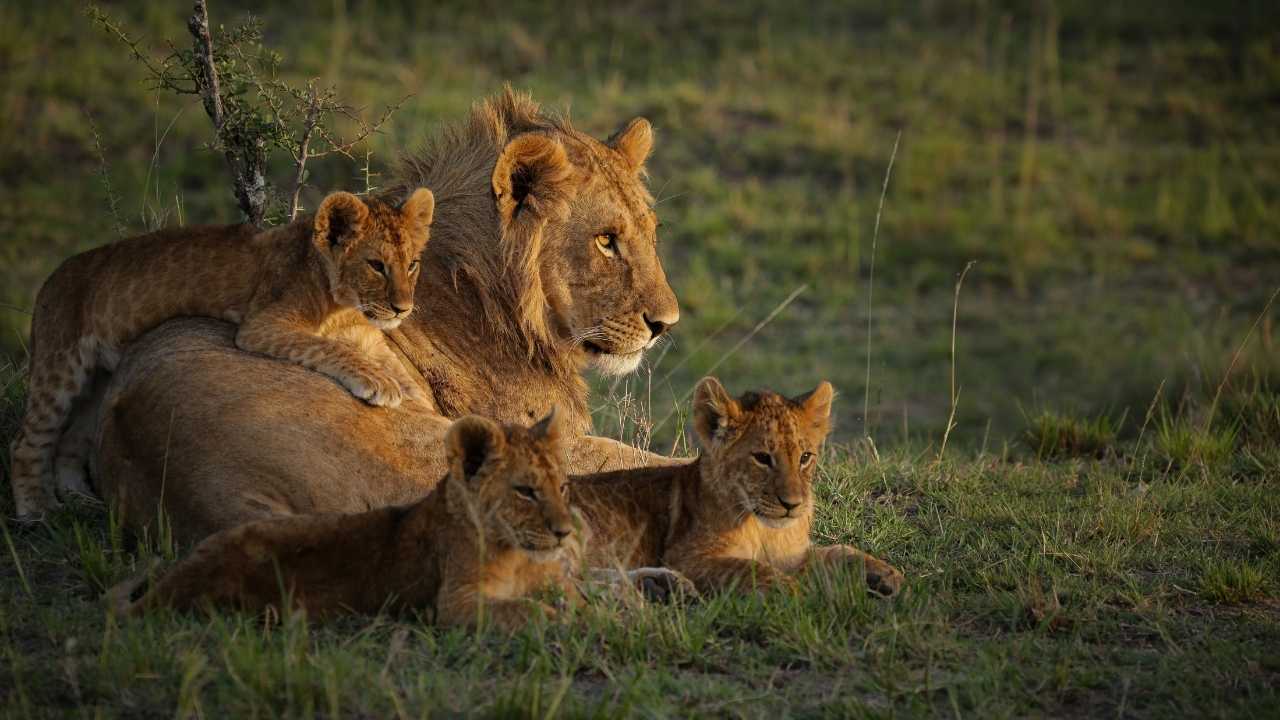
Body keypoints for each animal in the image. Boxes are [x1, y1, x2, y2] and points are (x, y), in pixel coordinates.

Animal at [9, 189, 435, 519]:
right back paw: (37, 510)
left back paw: (82, 501)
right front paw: (379, 384)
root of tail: (53, 276)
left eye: (412, 264)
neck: (343, 304)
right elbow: (327, 347)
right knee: (27, 442)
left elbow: (397, 368)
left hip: (97, 383)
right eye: (376, 265)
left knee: (69, 444)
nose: (403, 309)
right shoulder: (262, 326)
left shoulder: (367, 336)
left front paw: (418, 400)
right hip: (60, 367)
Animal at [108, 411, 582, 630]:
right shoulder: (454, 605)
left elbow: (574, 599)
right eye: (525, 491)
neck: (518, 556)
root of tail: (178, 578)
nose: (565, 533)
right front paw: (567, 622)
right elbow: (529, 609)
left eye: (563, 487)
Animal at [571, 377, 904, 597]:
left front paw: (885, 574)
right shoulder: (687, 556)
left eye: (805, 457)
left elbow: (837, 550)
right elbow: (753, 568)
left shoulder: (793, 555)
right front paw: (795, 593)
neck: (763, 528)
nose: (792, 505)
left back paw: (661, 586)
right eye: (762, 458)